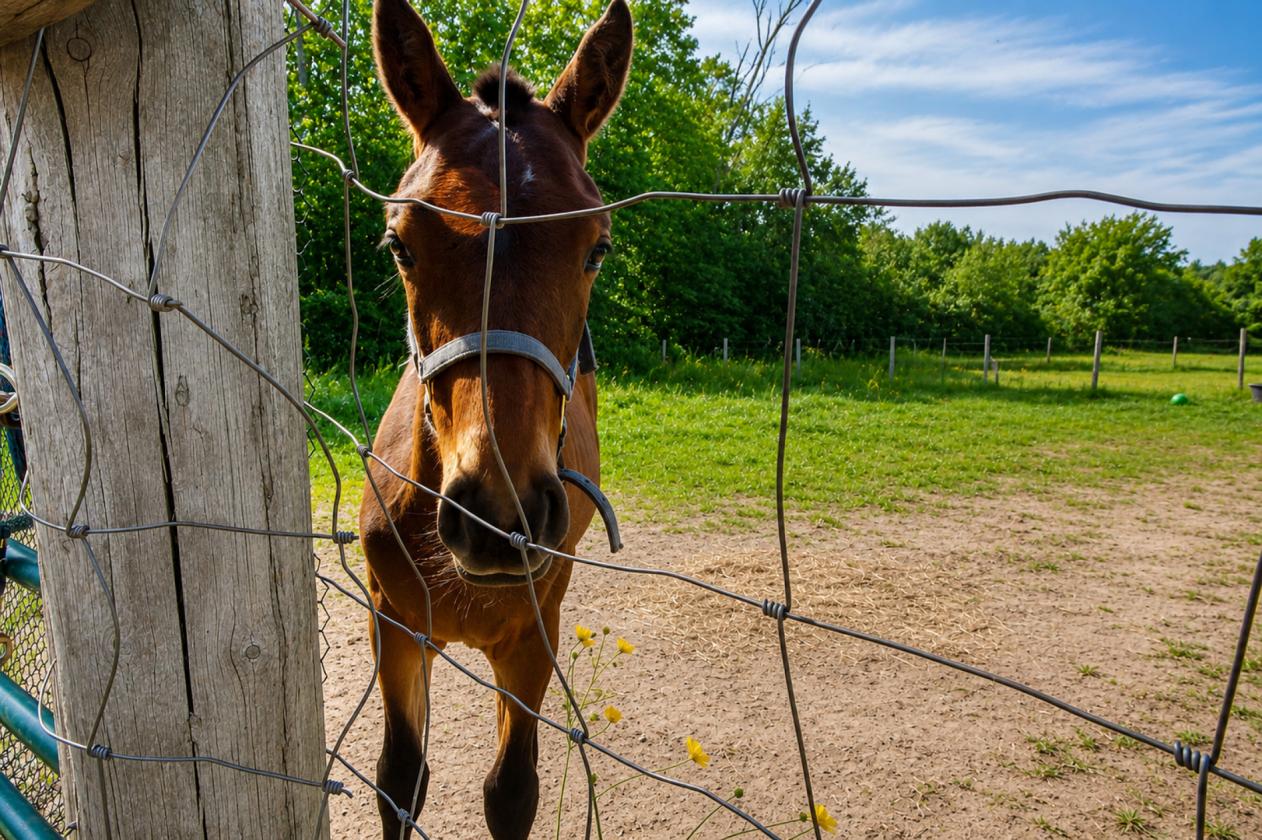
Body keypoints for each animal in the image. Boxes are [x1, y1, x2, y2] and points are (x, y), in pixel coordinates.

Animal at [358, 0, 632, 837]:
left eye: (596, 248)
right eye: (400, 244)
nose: (498, 515)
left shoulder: (530, 642)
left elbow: (511, 791)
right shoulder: (394, 624)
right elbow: (400, 777)